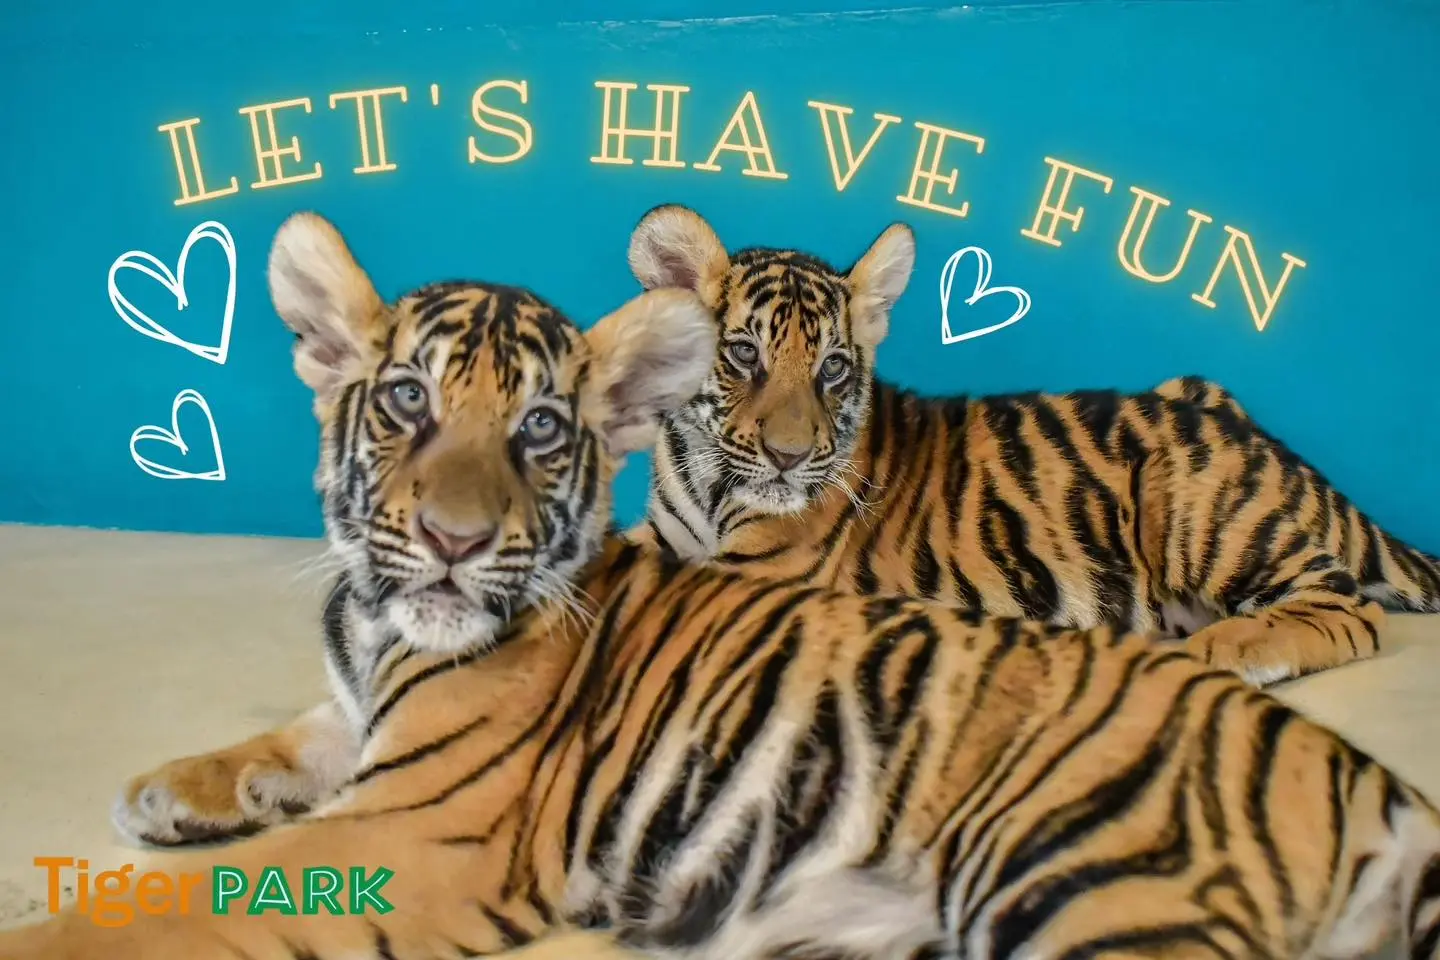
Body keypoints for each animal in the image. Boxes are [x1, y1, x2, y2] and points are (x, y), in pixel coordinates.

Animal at [626, 203, 1440, 687]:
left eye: (832, 368)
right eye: (743, 354)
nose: (792, 457)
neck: (706, 478)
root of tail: (1269, 442)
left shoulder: (757, 573)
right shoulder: (665, 531)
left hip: (1194, 507)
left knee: (1351, 608)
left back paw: (1232, 648)